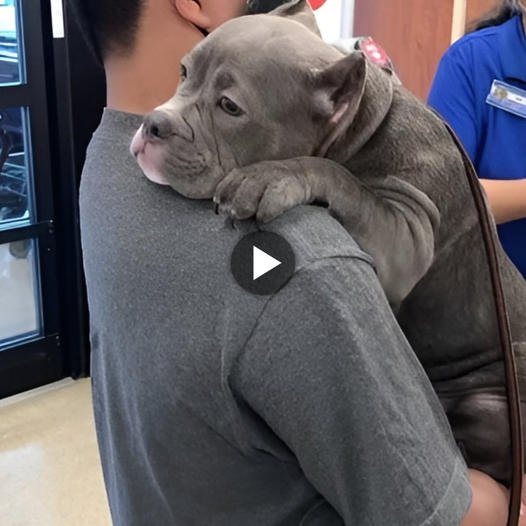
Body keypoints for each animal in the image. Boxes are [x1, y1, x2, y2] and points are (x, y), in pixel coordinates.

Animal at [132, 0, 526, 486]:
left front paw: (269, 177)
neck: (364, 125)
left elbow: (340, 178)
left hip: (493, 403)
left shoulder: (407, 234)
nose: (154, 123)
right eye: (183, 71)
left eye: (229, 106)